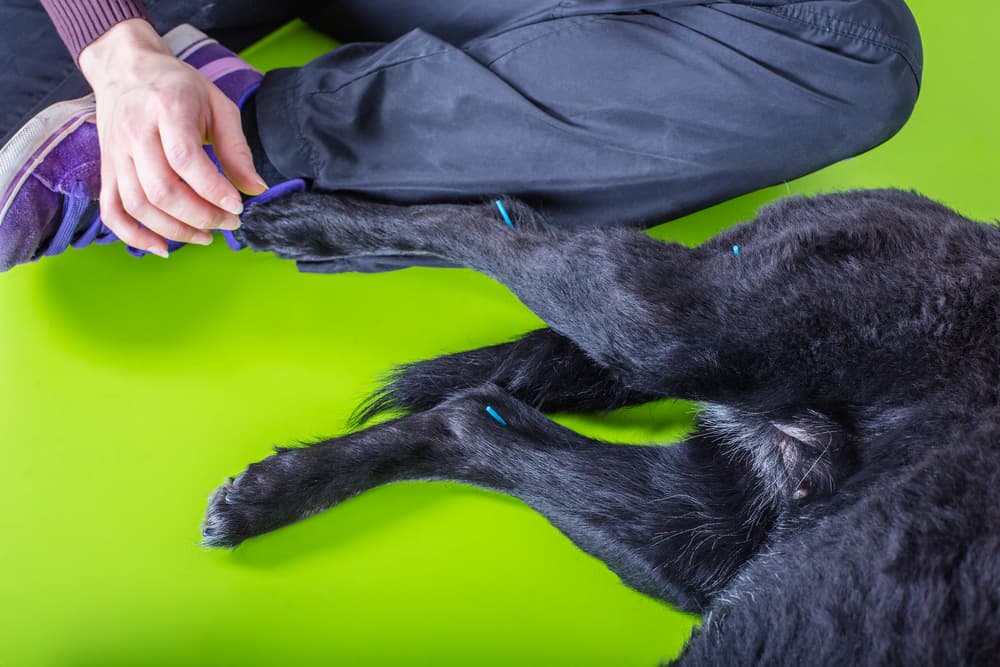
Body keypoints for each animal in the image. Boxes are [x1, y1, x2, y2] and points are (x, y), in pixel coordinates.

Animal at [203, 190, 1000, 664]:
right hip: (678, 325)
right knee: (490, 220)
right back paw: (310, 224)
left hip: (695, 534)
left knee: (471, 419)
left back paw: (274, 491)